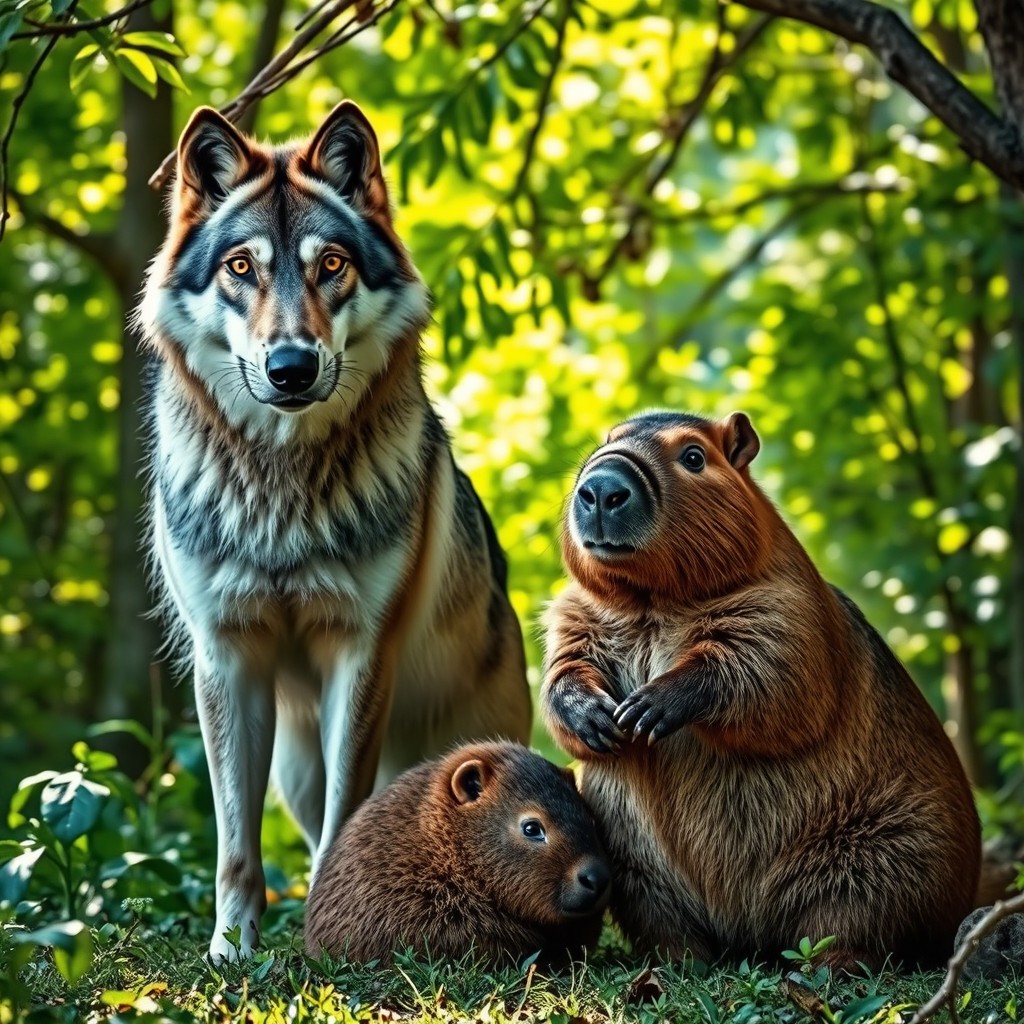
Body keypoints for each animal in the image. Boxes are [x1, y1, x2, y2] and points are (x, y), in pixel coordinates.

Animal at [138, 103, 532, 962]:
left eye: (332, 266)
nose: (291, 367)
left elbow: (340, 825)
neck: (282, 488)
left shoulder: (360, 652)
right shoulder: (227, 658)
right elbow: (234, 844)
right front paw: (232, 949)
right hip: (292, 762)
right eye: (241, 268)